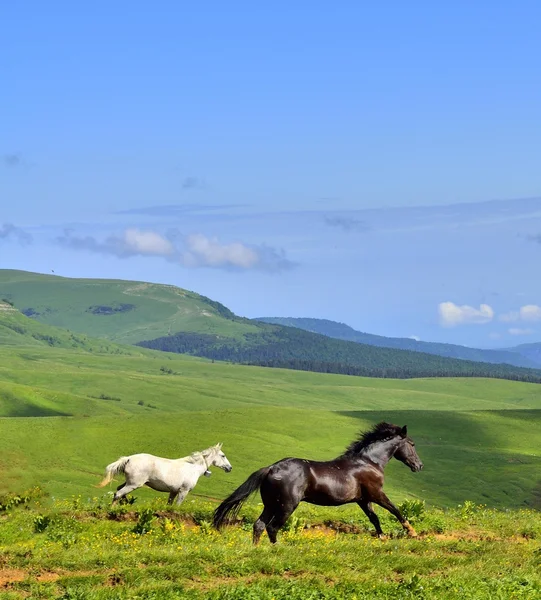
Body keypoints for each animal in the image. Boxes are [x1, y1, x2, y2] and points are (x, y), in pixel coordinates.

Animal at [97, 442, 232, 504]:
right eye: (223, 455)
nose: (230, 468)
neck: (193, 468)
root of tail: (129, 458)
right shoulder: (184, 491)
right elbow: (177, 505)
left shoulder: (173, 491)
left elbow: (169, 505)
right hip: (134, 484)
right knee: (118, 494)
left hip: (130, 483)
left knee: (119, 490)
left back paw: (125, 503)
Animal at [213, 422, 424, 544]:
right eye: (412, 444)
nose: (419, 466)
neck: (369, 461)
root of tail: (271, 468)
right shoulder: (376, 493)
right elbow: (396, 510)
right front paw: (412, 533)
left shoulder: (363, 499)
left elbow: (374, 518)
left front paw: (382, 536)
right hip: (287, 505)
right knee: (272, 527)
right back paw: (279, 549)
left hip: (271, 504)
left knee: (259, 526)